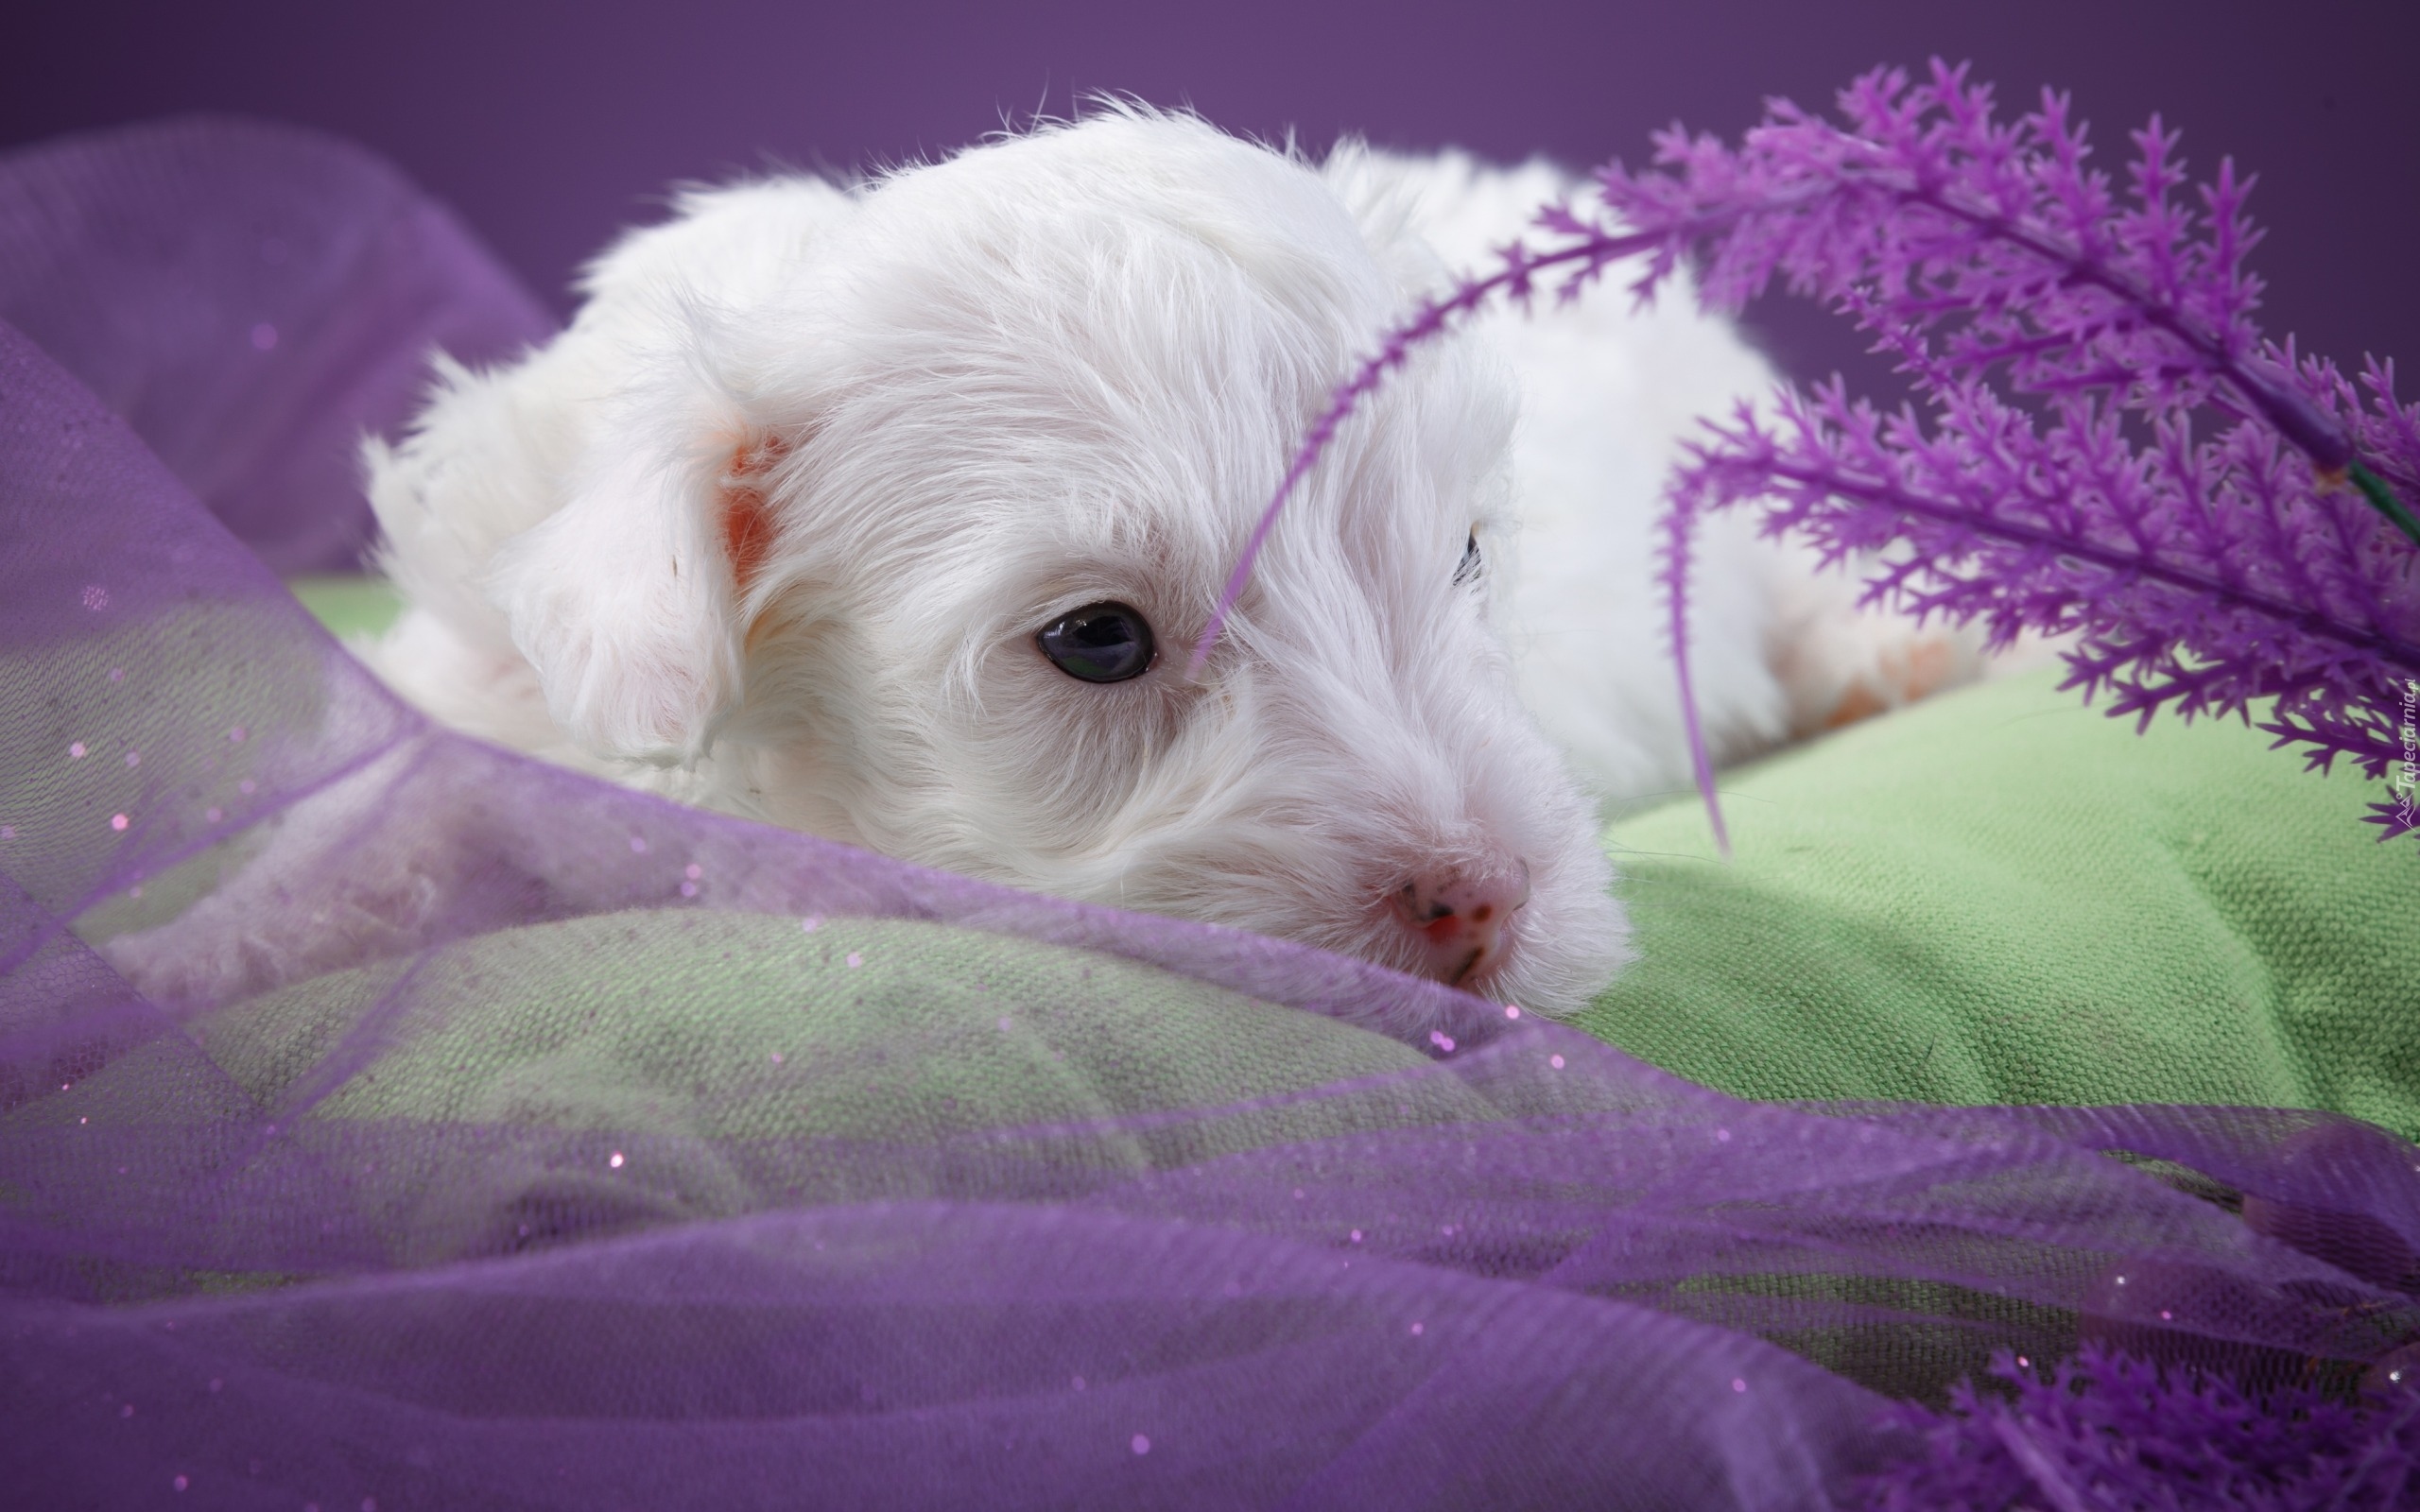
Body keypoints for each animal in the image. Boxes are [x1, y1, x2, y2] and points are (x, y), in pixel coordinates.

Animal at [137, 114, 1964, 1016]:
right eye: (1096, 640)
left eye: (1462, 559)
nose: (1483, 898)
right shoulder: (489, 705)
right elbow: (351, 844)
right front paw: (159, 973)